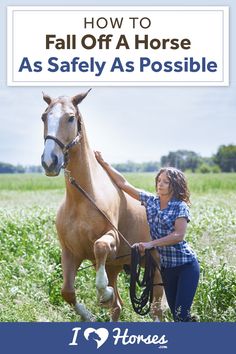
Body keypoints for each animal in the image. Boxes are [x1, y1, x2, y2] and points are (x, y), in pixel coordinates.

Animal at [40, 89, 163, 320]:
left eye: (70, 117)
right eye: (44, 117)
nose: (49, 161)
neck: (82, 198)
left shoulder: (111, 238)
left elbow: (100, 246)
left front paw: (103, 292)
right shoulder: (70, 253)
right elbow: (67, 292)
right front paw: (90, 315)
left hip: (156, 267)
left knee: (156, 309)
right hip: (116, 266)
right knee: (118, 306)